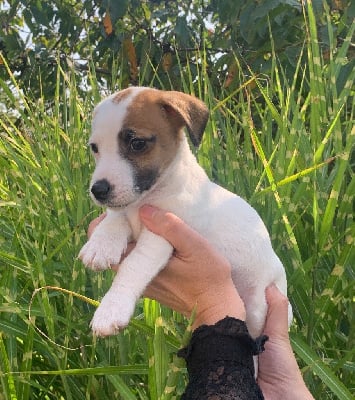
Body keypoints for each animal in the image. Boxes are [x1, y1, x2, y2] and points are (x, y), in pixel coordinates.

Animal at [78, 86, 292, 338]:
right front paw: (101, 245)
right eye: (95, 148)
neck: (147, 198)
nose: (98, 190)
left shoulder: (161, 235)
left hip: (259, 307)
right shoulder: (127, 211)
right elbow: (115, 218)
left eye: (137, 143)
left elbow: (134, 265)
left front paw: (111, 309)